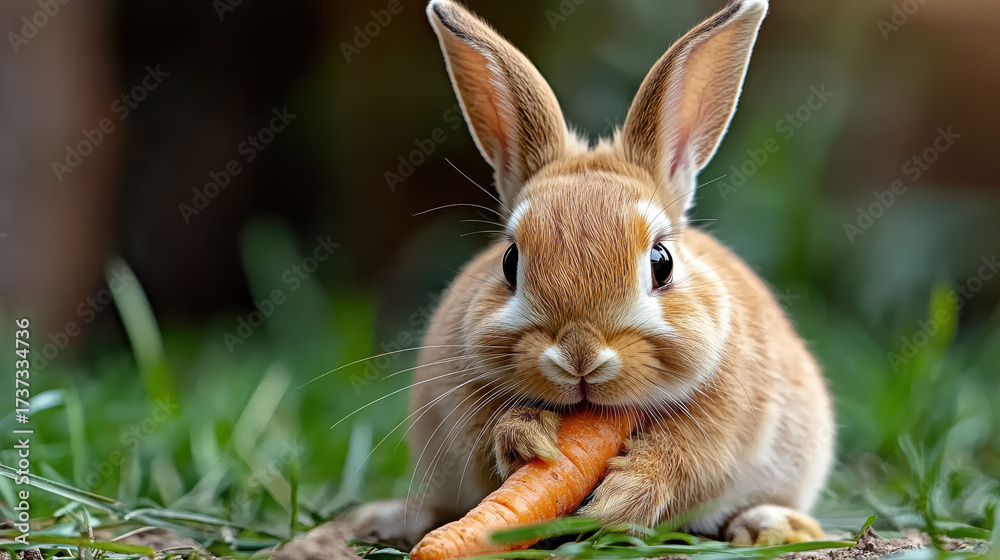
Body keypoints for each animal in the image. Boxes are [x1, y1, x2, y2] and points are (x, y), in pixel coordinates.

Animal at [349, 0, 835, 548]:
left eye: (661, 262)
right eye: (510, 261)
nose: (579, 355)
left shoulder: (726, 422)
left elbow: (688, 459)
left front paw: (621, 496)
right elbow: (489, 443)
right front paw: (530, 441)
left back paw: (774, 527)